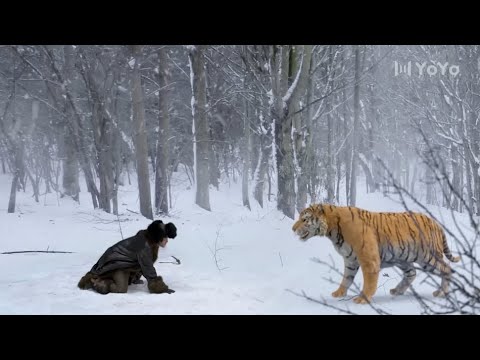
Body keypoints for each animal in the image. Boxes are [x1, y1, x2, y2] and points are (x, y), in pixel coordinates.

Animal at [292, 202, 462, 304]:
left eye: (304, 219)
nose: (293, 229)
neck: (332, 231)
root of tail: (435, 222)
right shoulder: (350, 260)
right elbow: (346, 279)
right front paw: (338, 293)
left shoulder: (368, 259)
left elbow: (369, 281)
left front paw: (362, 299)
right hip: (403, 258)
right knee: (412, 273)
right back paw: (397, 291)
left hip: (427, 257)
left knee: (446, 269)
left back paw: (441, 293)